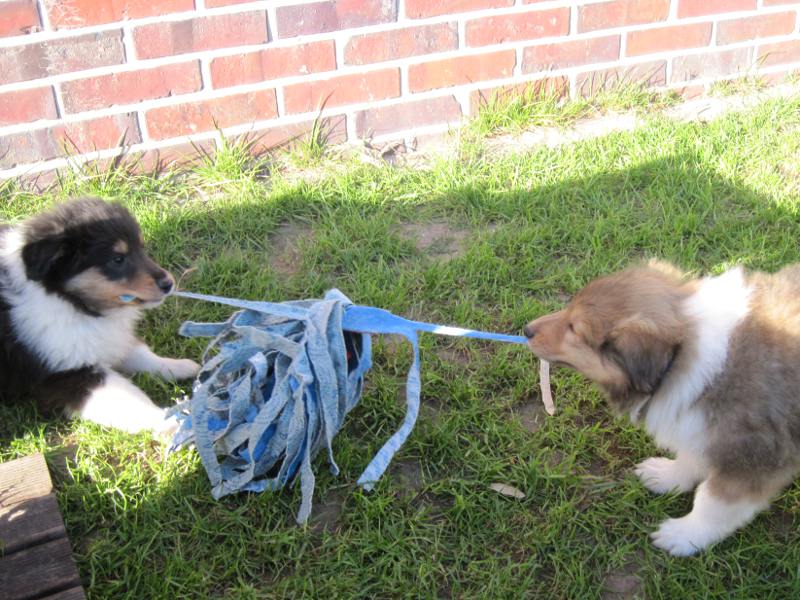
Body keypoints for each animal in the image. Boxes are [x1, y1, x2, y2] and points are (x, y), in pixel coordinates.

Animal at [0, 197, 199, 435]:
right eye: (117, 259)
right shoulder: (70, 372)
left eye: (141, 248)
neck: (68, 299)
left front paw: (181, 366)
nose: (168, 283)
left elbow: (141, 354)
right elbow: (129, 399)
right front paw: (169, 421)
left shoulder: (104, 338)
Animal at [524, 260, 800, 555]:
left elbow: (713, 505)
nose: (527, 330)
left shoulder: (751, 458)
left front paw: (682, 536)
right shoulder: (699, 426)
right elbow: (691, 457)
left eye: (575, 329)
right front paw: (666, 477)